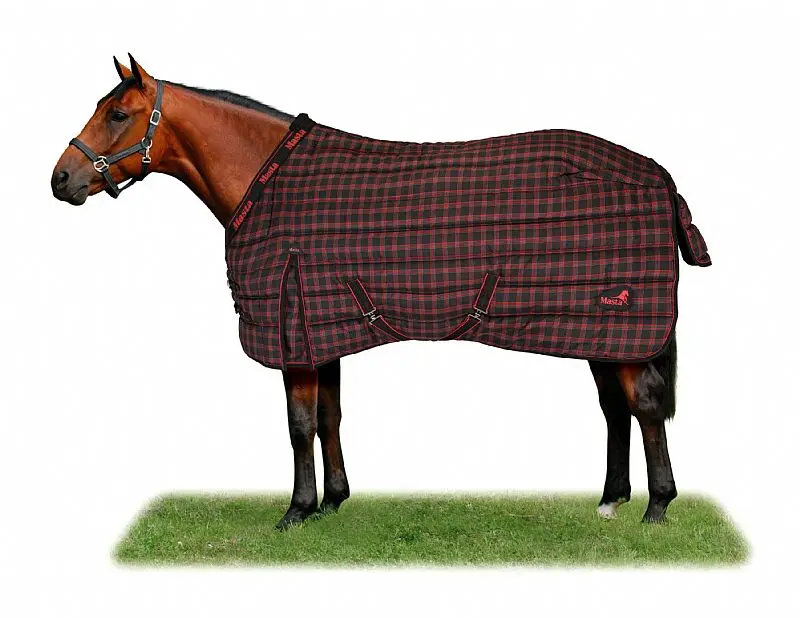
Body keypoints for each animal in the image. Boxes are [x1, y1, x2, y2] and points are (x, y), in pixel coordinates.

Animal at [52, 55, 704, 529]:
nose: (61, 179)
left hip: (620, 319)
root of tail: (660, 175)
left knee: (644, 404)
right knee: (616, 409)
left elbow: (299, 424)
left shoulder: (293, 332)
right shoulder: (320, 329)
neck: (263, 181)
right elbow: (330, 417)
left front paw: (296, 511)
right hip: (598, 327)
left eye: (118, 114)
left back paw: (656, 507)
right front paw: (334, 501)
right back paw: (612, 500)